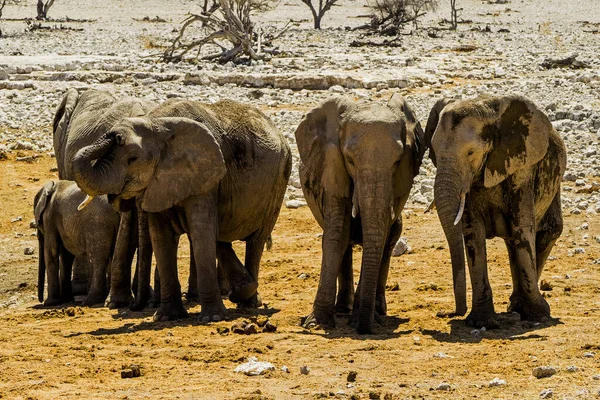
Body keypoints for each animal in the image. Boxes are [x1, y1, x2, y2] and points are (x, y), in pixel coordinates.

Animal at [71, 99, 292, 322]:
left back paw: (249, 302)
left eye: (132, 159)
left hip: (279, 182)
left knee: (256, 241)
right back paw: (242, 292)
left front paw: (213, 318)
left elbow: (200, 229)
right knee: (221, 239)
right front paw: (166, 317)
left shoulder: (205, 174)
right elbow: (161, 237)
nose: (114, 134)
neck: (157, 122)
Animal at [298, 94, 424, 334]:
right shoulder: (331, 165)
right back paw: (343, 310)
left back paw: (377, 311)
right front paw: (317, 323)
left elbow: (379, 235)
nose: (364, 329)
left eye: (397, 161)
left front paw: (361, 319)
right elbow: (337, 233)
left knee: (390, 239)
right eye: (350, 160)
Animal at [426, 95, 568, 326]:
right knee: (513, 243)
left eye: (471, 153)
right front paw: (482, 322)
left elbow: (523, 229)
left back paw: (519, 308)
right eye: (434, 153)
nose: (447, 314)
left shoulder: (522, 168)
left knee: (548, 233)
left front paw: (538, 315)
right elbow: (473, 235)